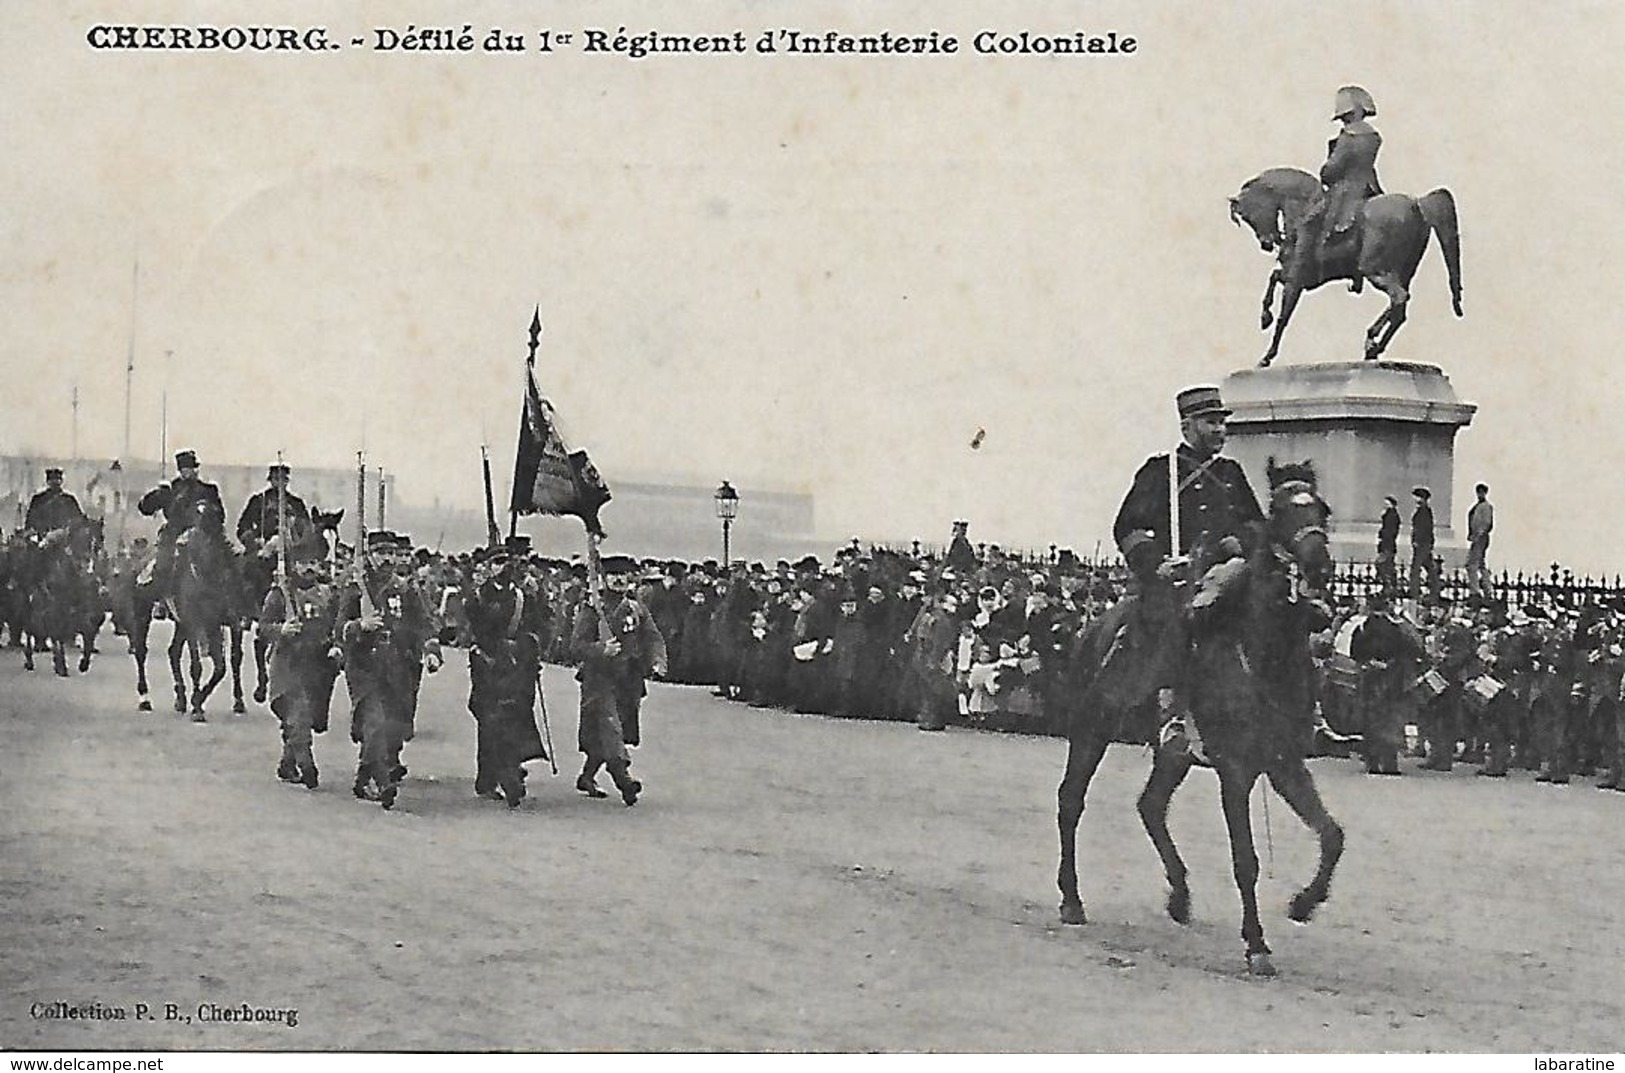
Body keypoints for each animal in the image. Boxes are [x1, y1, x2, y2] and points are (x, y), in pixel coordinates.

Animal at [1053, 458, 1345, 975]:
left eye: (1322, 509)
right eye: (1280, 510)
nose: (1317, 564)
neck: (1265, 654)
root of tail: (1095, 627)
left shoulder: (1284, 763)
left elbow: (1332, 835)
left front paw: (1303, 903)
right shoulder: (1236, 771)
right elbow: (1246, 860)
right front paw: (1256, 944)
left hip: (1173, 754)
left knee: (1150, 806)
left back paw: (1179, 896)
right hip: (1091, 729)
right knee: (1071, 800)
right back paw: (1072, 899)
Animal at [1228, 166, 1462, 369]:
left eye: (1250, 214)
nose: (1267, 243)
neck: (1305, 207)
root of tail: (1417, 203)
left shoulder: (1296, 281)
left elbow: (1283, 317)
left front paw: (1266, 356)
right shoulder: (1302, 278)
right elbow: (1274, 277)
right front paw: (1264, 317)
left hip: (1375, 270)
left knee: (1399, 299)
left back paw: (1372, 343)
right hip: (1402, 272)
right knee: (1400, 306)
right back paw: (1372, 346)